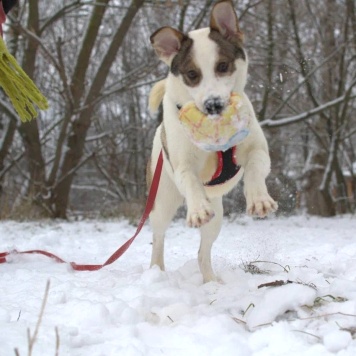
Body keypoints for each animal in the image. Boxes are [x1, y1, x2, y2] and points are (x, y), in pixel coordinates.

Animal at [146, 0, 276, 284]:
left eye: (223, 66)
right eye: (192, 74)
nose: (213, 104)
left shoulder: (257, 149)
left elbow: (255, 165)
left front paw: (259, 199)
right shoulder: (183, 165)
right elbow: (190, 180)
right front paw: (196, 211)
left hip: (217, 216)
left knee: (202, 252)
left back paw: (211, 283)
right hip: (161, 200)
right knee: (158, 237)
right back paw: (156, 272)